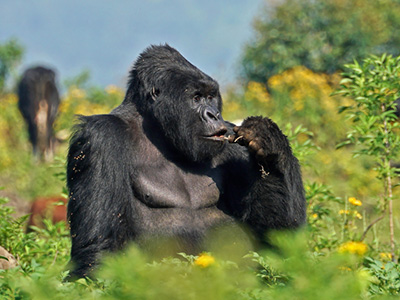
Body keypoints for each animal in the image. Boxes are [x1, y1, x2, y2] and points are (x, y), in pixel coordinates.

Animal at [68, 45, 306, 278]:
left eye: (211, 97)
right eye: (196, 98)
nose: (214, 114)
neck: (157, 131)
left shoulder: (232, 139)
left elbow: (276, 231)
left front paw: (269, 142)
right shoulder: (100, 138)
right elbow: (100, 248)